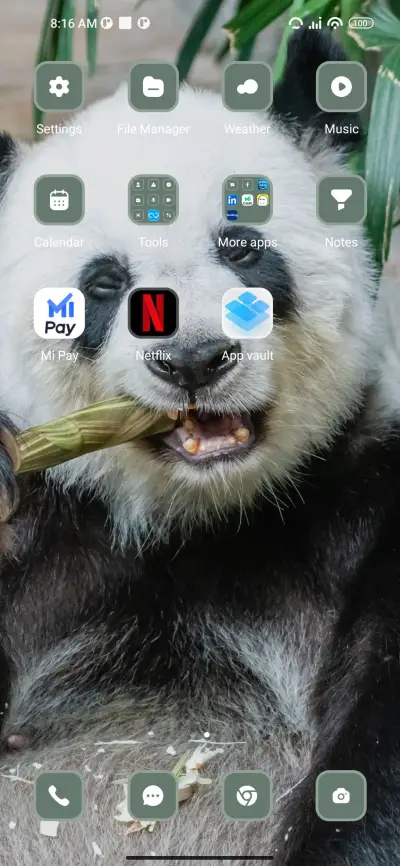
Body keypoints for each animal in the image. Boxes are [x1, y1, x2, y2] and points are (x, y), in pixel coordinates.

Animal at [0, 25, 399, 865]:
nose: (192, 358)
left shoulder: (366, 492)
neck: (202, 518)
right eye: (105, 283)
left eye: (241, 246)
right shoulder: (63, 535)